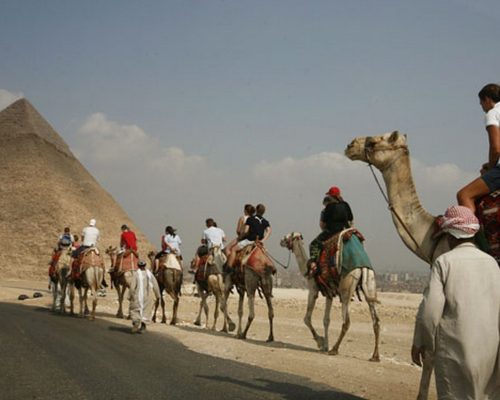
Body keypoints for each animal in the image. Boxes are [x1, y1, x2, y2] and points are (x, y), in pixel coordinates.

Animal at [280, 230, 380, 360]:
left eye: (287, 237)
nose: (280, 241)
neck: (307, 271)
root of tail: (362, 267)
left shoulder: (313, 290)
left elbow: (307, 319)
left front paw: (320, 342)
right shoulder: (329, 294)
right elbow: (326, 320)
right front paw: (325, 345)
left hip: (346, 288)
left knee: (346, 321)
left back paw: (334, 349)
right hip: (370, 281)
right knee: (376, 321)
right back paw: (375, 356)